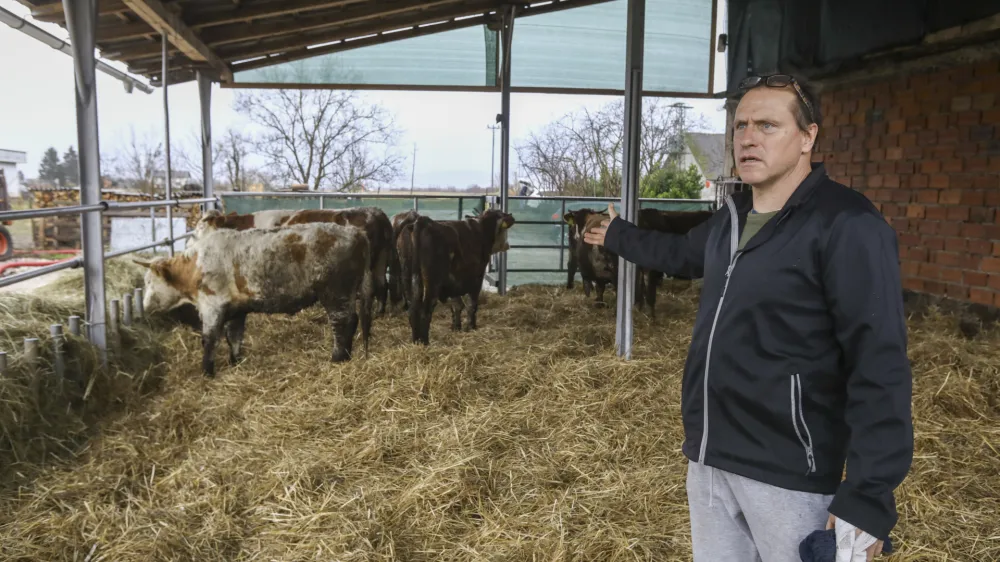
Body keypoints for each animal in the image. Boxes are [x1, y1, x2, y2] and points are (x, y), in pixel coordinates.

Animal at [131, 220, 370, 376]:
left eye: (149, 282)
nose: (144, 306)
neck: (195, 266)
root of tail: (354, 231)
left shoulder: (212, 306)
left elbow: (209, 340)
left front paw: (207, 372)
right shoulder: (236, 309)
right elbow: (234, 336)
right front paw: (235, 362)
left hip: (335, 292)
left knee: (343, 322)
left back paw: (337, 358)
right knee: (353, 320)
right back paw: (346, 356)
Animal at [398, 208, 512, 344]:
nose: (507, 245)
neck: (482, 229)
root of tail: (422, 222)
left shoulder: (453, 281)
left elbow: (457, 305)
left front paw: (456, 327)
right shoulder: (477, 278)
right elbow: (471, 304)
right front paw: (471, 327)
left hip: (408, 278)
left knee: (412, 309)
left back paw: (416, 341)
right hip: (432, 283)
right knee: (425, 311)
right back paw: (425, 342)